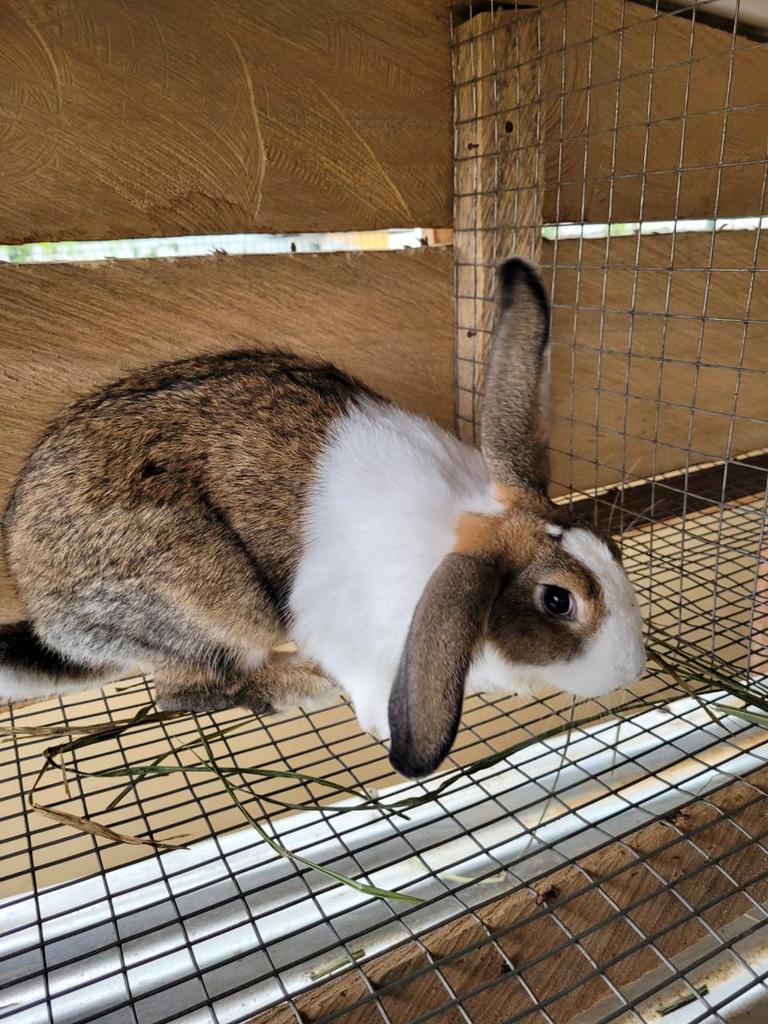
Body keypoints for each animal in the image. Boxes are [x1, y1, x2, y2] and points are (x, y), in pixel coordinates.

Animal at [1, 258, 646, 778]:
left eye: (612, 549)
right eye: (558, 600)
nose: (631, 671)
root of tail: (48, 618)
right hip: (217, 606)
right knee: (185, 691)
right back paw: (300, 683)